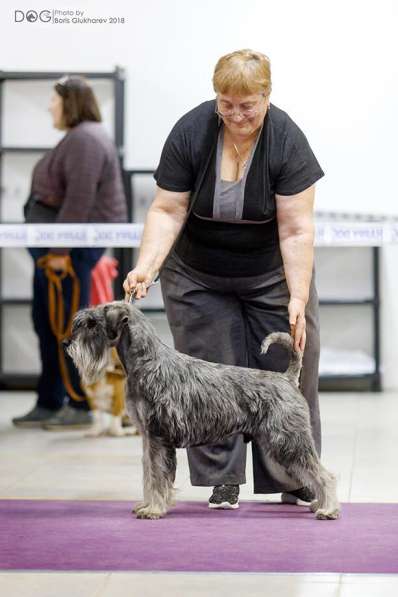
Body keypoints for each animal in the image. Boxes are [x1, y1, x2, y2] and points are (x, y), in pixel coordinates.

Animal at [67, 300, 340, 520]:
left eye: (92, 323)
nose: (66, 344)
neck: (146, 362)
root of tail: (286, 378)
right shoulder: (148, 438)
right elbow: (149, 474)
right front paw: (146, 505)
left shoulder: (158, 437)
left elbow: (157, 476)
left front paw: (154, 510)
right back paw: (319, 504)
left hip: (288, 441)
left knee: (323, 474)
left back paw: (328, 509)